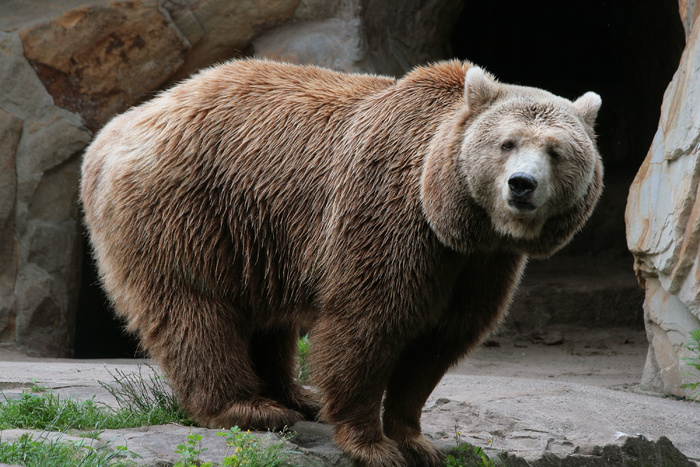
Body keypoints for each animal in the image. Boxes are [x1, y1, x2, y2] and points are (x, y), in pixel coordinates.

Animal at [80, 60, 600, 467]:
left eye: (556, 150)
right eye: (507, 143)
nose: (521, 185)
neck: (454, 215)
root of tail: (115, 130)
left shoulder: (481, 263)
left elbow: (439, 342)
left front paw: (418, 441)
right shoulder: (391, 219)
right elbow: (368, 325)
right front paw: (372, 445)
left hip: (258, 236)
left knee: (264, 318)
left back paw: (295, 395)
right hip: (187, 210)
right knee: (195, 309)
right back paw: (250, 408)